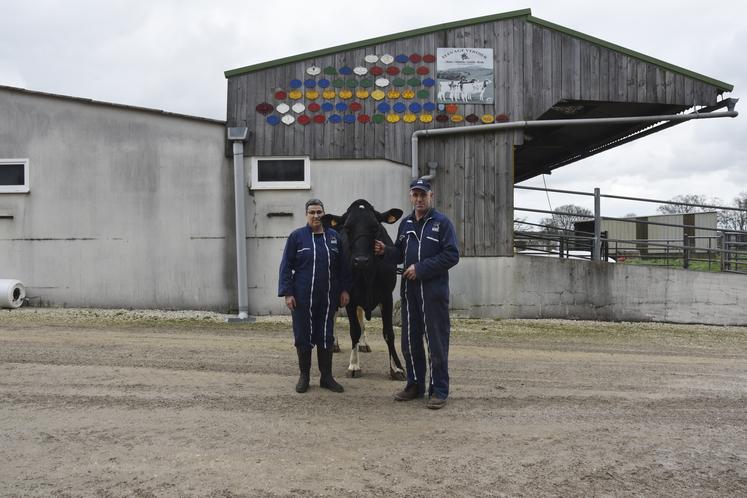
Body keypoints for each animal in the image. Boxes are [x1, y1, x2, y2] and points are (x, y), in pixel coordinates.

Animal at [324, 200, 406, 380]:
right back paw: (334, 343)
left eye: (375, 227)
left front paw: (397, 368)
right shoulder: (350, 297)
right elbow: (353, 330)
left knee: (361, 316)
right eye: (348, 228)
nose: (360, 260)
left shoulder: (386, 296)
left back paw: (363, 343)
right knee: (333, 315)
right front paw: (354, 365)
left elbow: (388, 332)